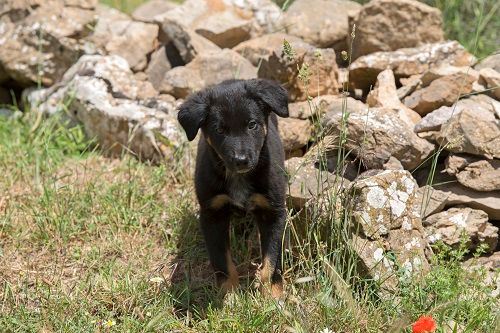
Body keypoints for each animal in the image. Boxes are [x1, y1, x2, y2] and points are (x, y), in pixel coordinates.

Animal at [178, 78, 290, 298]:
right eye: (220, 130)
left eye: (252, 125)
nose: (241, 160)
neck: (238, 177)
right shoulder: (213, 213)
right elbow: (222, 261)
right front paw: (229, 295)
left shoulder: (273, 211)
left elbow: (272, 259)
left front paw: (272, 295)